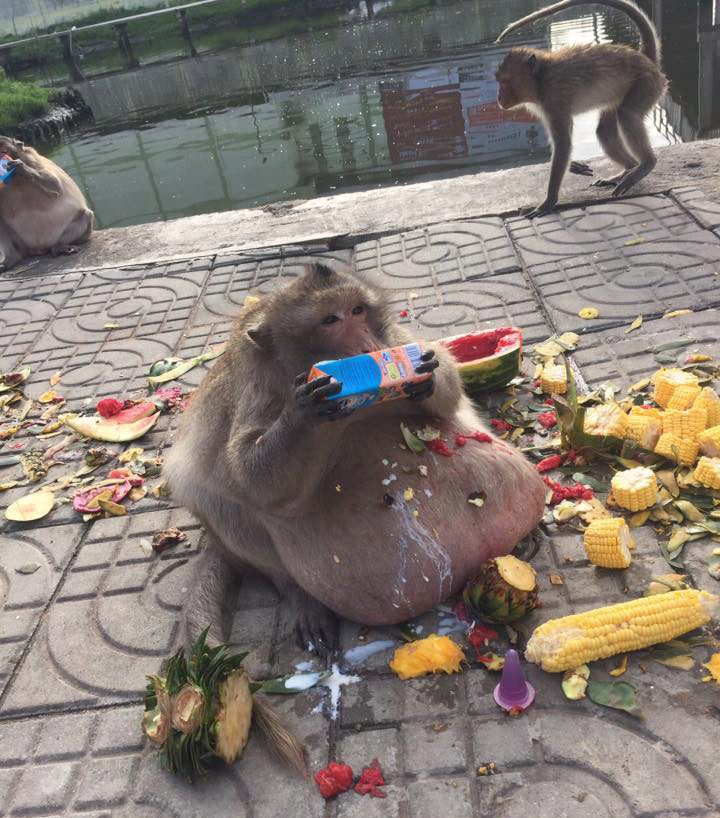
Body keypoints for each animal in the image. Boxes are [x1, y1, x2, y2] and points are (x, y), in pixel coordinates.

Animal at [0, 135, 93, 270]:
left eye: (3, 151)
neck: (16, 181)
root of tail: (38, 249)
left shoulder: (31, 158)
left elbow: (55, 185)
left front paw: (21, 168)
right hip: (22, 244)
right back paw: (11, 259)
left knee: (85, 215)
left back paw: (59, 247)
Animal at [163, 264, 544, 652]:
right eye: (330, 319)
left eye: (358, 310)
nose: (367, 345)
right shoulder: (255, 384)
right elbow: (250, 477)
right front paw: (304, 411)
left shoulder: (392, 336)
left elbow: (450, 394)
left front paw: (426, 373)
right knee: (212, 498)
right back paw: (302, 599)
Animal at [496, 0, 668, 217]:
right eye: (499, 82)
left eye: (505, 82)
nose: (498, 97)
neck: (541, 78)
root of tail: (647, 61)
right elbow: (562, 144)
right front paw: (572, 166)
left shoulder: (554, 99)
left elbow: (563, 145)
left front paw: (549, 201)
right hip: (624, 92)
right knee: (605, 130)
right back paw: (629, 168)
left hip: (646, 84)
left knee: (627, 114)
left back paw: (645, 164)